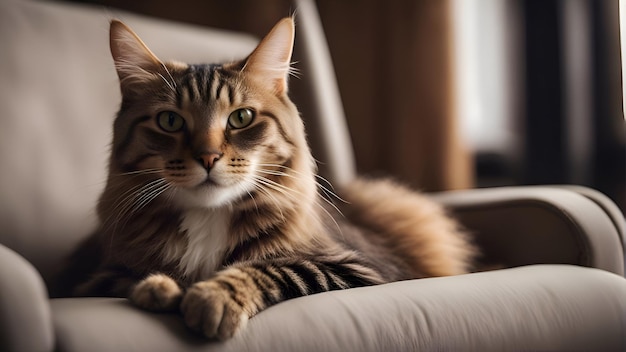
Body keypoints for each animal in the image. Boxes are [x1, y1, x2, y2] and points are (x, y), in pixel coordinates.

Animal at [56, 17, 476, 340]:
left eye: (241, 118)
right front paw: (161, 288)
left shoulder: (362, 268)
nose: (208, 157)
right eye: (170, 121)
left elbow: (274, 268)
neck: (207, 218)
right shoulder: (91, 279)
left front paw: (214, 298)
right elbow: (131, 280)